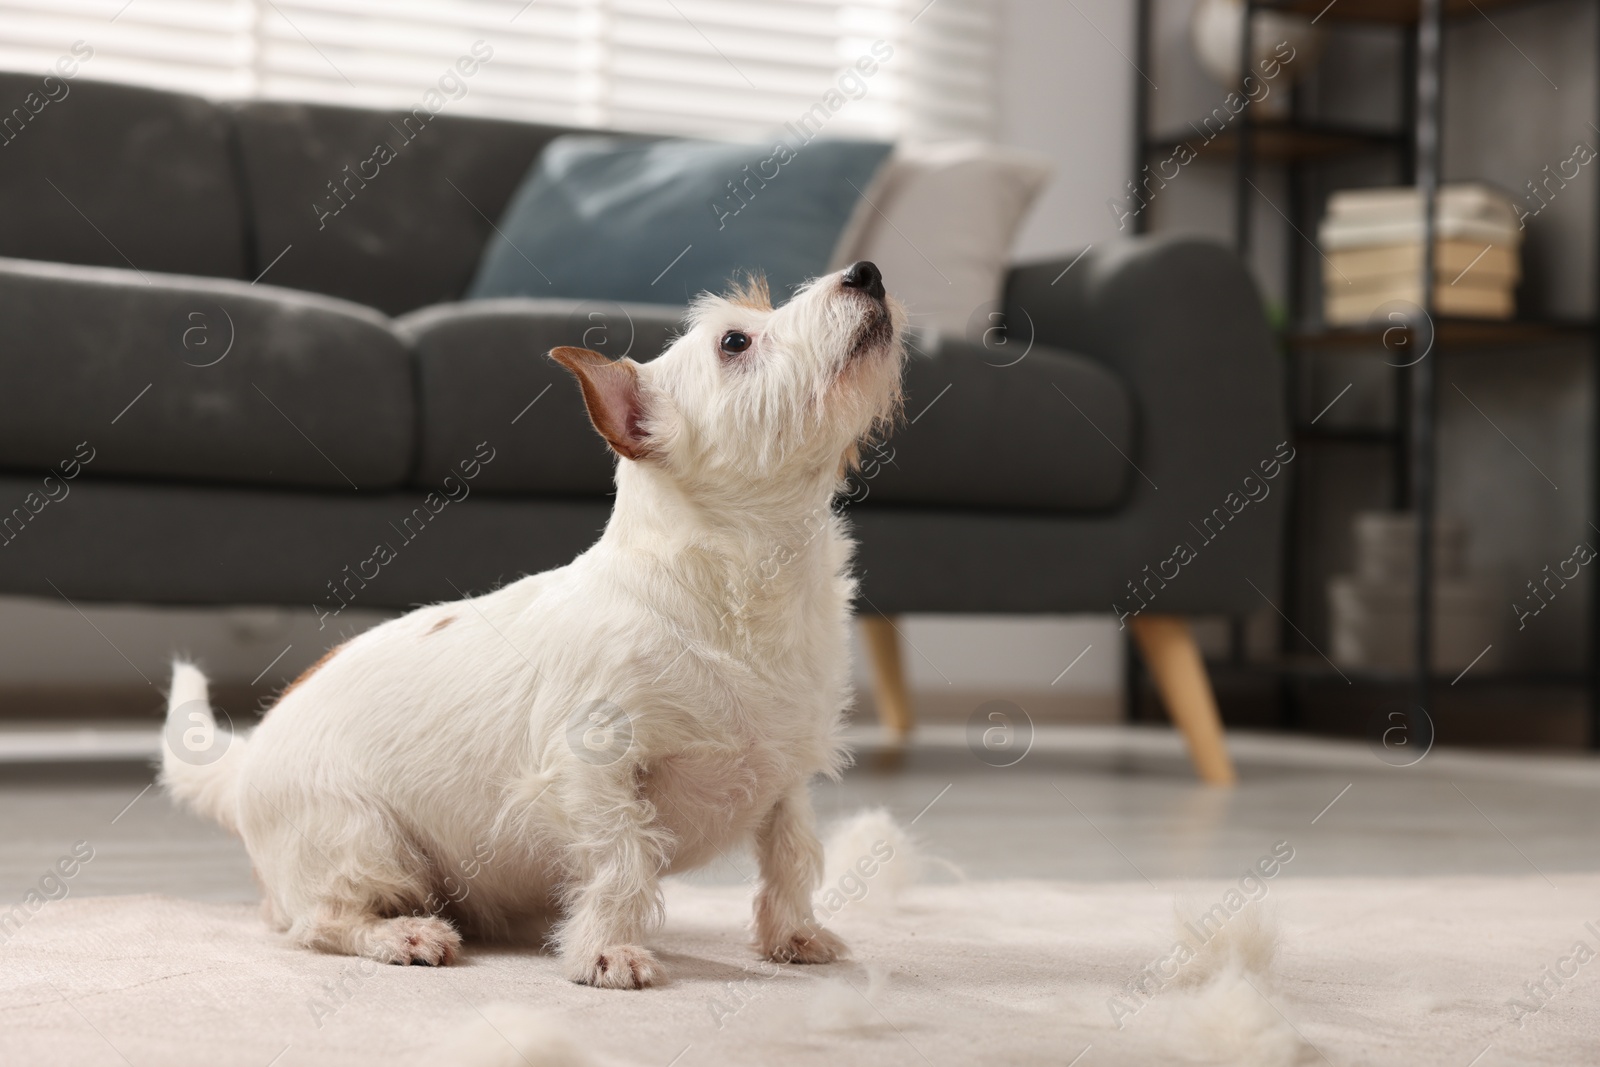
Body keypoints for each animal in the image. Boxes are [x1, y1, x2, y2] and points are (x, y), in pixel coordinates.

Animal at [164, 260, 915, 991]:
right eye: (734, 341)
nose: (867, 272)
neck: (746, 584)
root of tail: (244, 761)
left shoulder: (788, 781)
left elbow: (792, 856)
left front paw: (795, 937)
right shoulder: (592, 767)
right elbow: (621, 859)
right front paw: (606, 952)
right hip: (363, 840)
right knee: (317, 922)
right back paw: (402, 935)